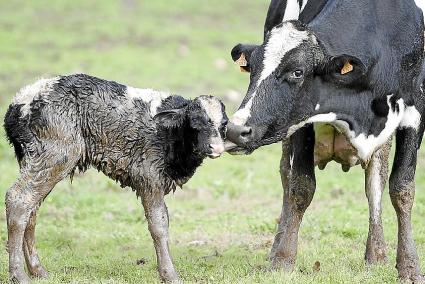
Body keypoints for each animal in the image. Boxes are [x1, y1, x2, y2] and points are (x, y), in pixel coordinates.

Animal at [3, 74, 229, 282]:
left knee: (31, 208)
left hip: (34, 158)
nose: (216, 148)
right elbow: (159, 225)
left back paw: (37, 271)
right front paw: (169, 275)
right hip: (56, 154)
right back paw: (18, 275)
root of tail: (18, 104)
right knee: (19, 199)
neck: (169, 135)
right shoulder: (149, 177)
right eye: (195, 123)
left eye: (223, 125)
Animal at [225, 0, 424, 282]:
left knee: (375, 179)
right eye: (251, 69)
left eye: (297, 72)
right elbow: (300, 187)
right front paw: (283, 259)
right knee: (286, 175)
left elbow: (402, 189)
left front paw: (409, 267)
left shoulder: (416, 109)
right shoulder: (301, 121)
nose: (234, 129)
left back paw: (376, 254)